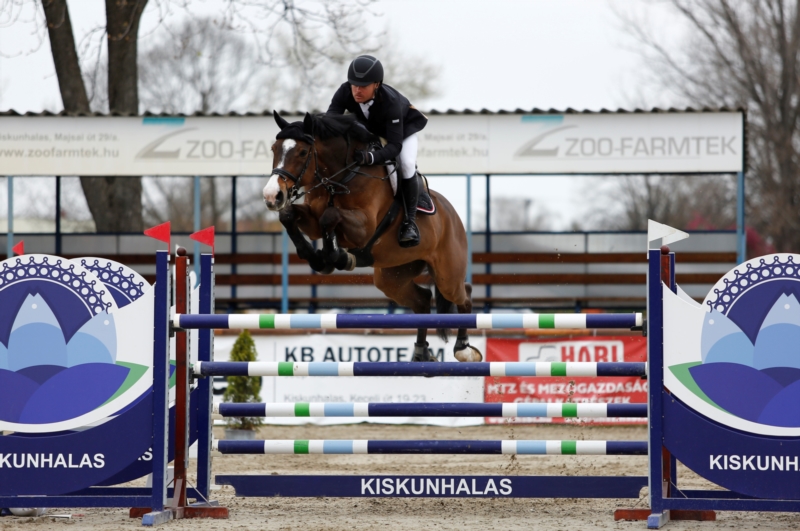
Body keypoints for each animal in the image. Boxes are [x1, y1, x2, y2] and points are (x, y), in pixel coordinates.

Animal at [262, 110, 482, 364]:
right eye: (274, 149)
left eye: (302, 152)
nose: (272, 196)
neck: (342, 177)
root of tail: (453, 216)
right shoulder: (313, 222)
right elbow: (289, 215)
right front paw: (317, 257)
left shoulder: (364, 227)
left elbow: (330, 216)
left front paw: (336, 257)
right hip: (392, 275)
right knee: (423, 300)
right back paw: (421, 354)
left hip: (447, 275)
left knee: (464, 293)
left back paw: (464, 349)